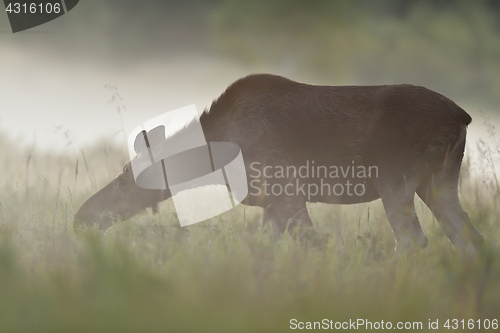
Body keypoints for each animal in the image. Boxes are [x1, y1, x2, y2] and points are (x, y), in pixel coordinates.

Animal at [74, 74, 484, 250]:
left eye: (124, 179)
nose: (81, 216)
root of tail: (463, 117)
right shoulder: (271, 203)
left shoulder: (286, 192)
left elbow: (312, 245)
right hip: (439, 183)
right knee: (469, 239)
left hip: (396, 182)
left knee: (415, 241)